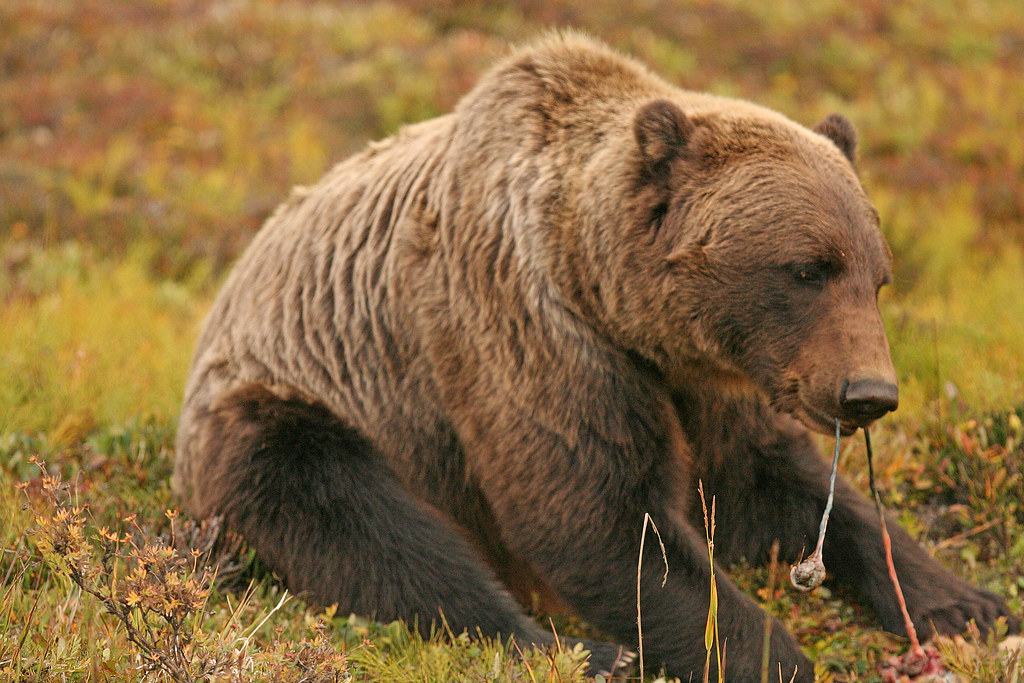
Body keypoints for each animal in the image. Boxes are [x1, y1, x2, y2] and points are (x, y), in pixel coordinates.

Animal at [176, 33, 1015, 683]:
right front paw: (774, 656)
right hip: (294, 408)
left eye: (878, 275)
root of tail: (224, 295)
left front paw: (966, 602)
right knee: (366, 527)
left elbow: (778, 487)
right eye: (806, 268)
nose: (868, 392)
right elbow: (596, 515)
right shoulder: (532, 331)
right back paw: (583, 650)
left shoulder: (712, 381)